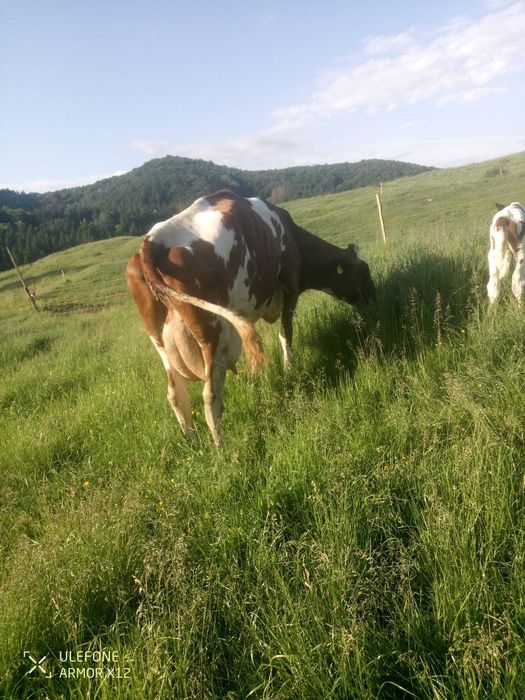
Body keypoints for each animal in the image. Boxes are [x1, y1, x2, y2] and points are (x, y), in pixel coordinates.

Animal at [126, 190, 375, 445]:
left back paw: (191, 442)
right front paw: (290, 369)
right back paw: (220, 446)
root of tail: (152, 241)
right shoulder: (290, 287)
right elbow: (286, 334)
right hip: (212, 335)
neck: (291, 236)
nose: (374, 299)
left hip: (160, 341)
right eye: (364, 275)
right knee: (210, 395)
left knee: (176, 394)